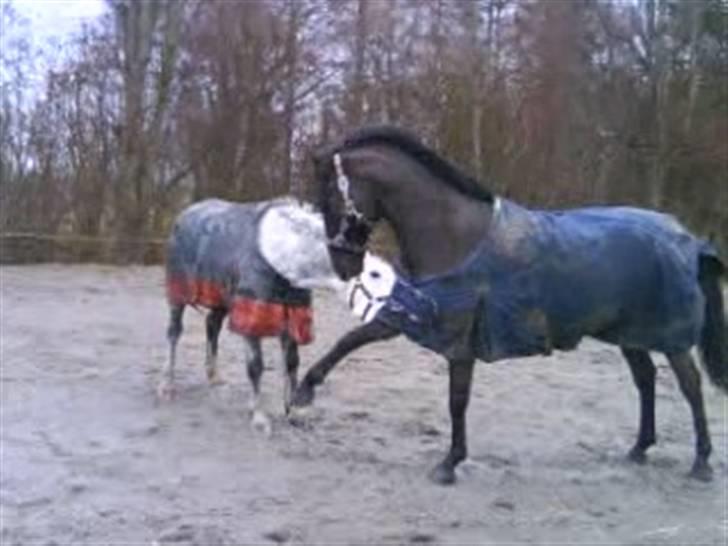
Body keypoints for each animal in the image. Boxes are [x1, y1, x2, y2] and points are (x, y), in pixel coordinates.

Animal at [161, 197, 345, 434]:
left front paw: (293, 413)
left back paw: (215, 378)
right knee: (174, 333)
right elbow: (256, 367)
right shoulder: (251, 321)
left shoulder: (292, 318)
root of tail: (185, 213)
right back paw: (167, 385)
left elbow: (292, 363)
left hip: (222, 297)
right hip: (178, 295)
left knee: (212, 324)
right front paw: (258, 417)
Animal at [290, 125, 727, 485]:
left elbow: (457, 400)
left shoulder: (459, 337)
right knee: (646, 380)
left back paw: (701, 463)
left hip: (668, 338)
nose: (344, 265)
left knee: (690, 387)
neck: (454, 236)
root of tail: (687, 239)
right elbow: (352, 339)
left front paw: (449, 464)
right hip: (628, 334)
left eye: (329, 195)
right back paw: (639, 449)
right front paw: (302, 395)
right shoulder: (418, 314)